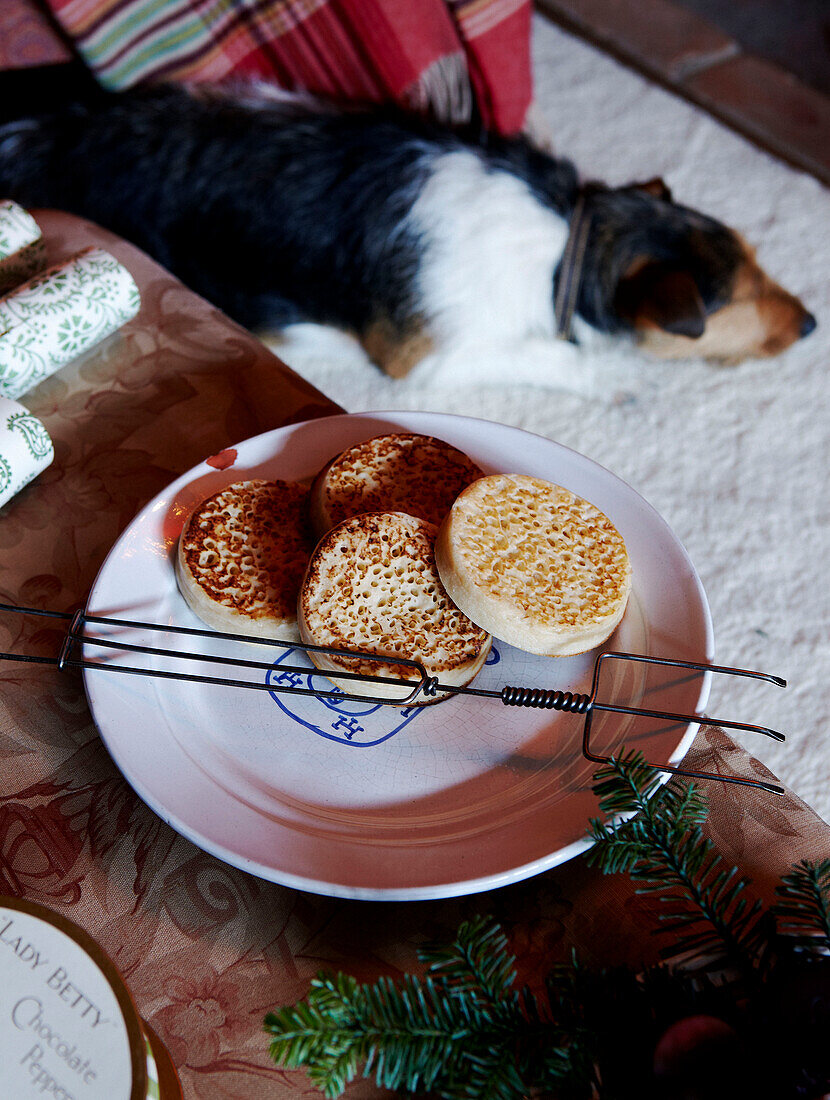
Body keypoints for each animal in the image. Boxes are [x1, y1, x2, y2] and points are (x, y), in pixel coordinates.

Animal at [0, 69, 817, 378]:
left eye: (759, 260)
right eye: (736, 301)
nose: (813, 325)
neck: (566, 251)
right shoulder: (433, 356)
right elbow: (563, 360)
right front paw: (610, 382)